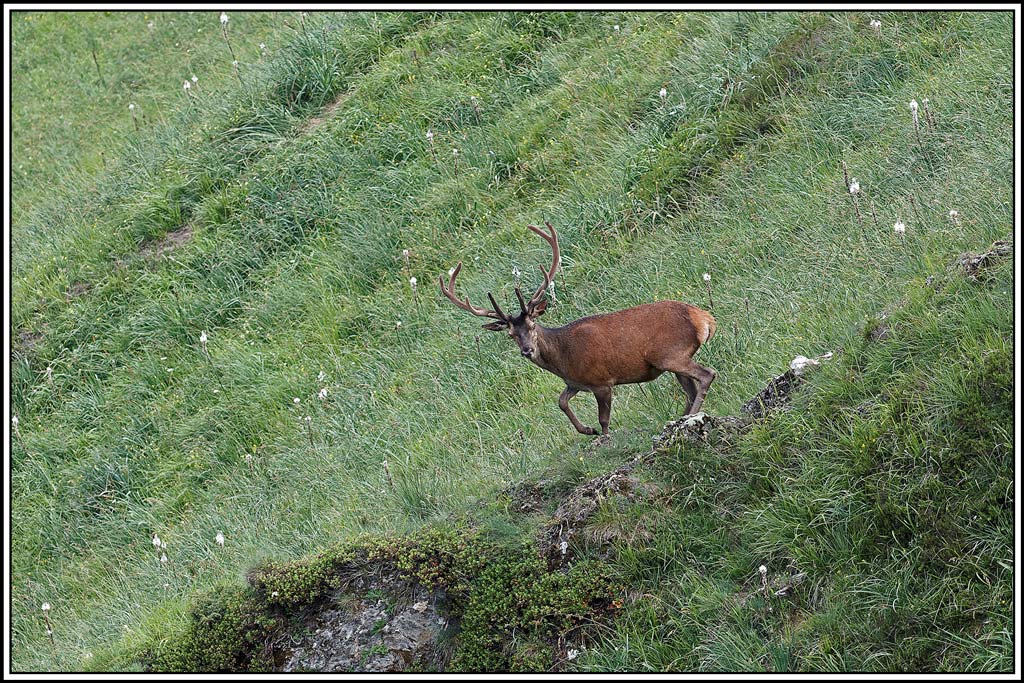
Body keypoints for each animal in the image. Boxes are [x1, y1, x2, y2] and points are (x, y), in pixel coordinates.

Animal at [439, 222, 717, 437]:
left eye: (532, 325)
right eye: (511, 335)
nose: (527, 350)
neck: (563, 359)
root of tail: (703, 318)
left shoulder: (601, 380)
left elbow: (604, 419)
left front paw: (601, 437)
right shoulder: (574, 383)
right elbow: (561, 402)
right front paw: (586, 430)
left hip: (670, 353)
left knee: (707, 374)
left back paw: (690, 418)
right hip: (671, 361)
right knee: (690, 389)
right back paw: (679, 418)